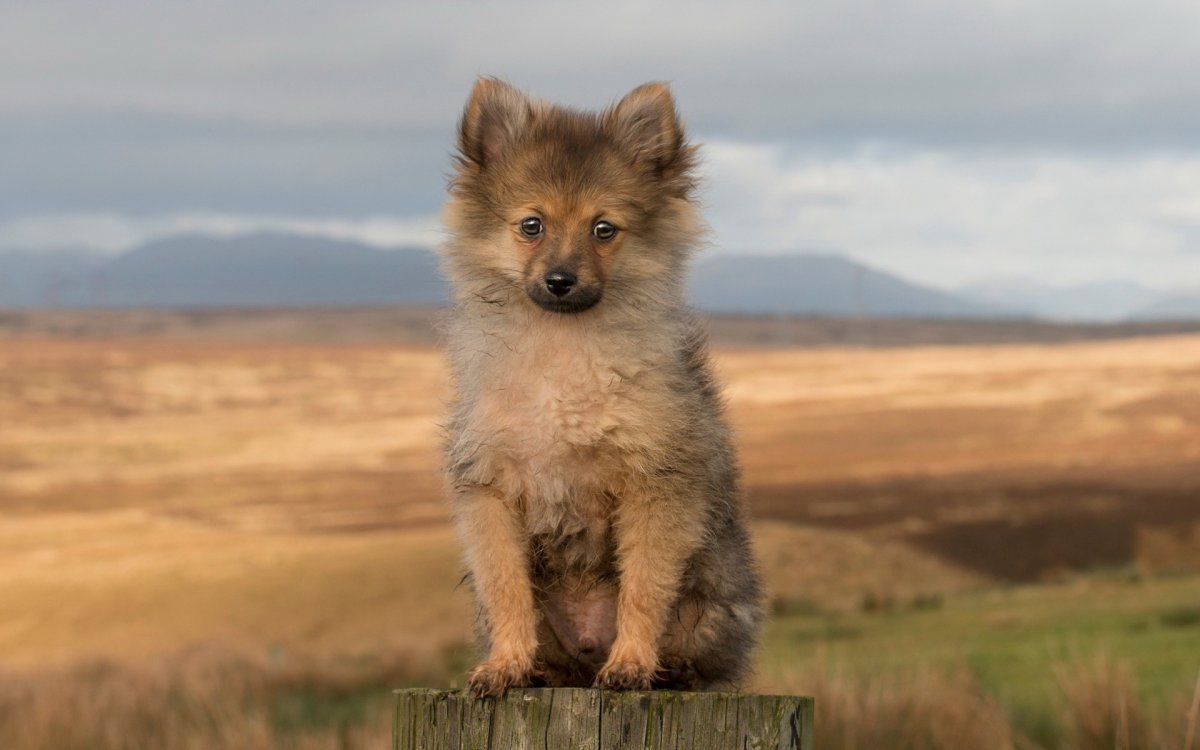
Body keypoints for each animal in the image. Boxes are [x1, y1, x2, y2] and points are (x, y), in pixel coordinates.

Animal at [439, 77, 758, 696]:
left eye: (603, 229)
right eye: (532, 225)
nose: (560, 280)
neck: (563, 355)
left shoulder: (656, 485)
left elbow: (644, 589)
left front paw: (631, 663)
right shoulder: (490, 491)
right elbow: (507, 590)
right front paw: (506, 665)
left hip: (708, 606)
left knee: (697, 654)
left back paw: (665, 670)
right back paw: (541, 669)